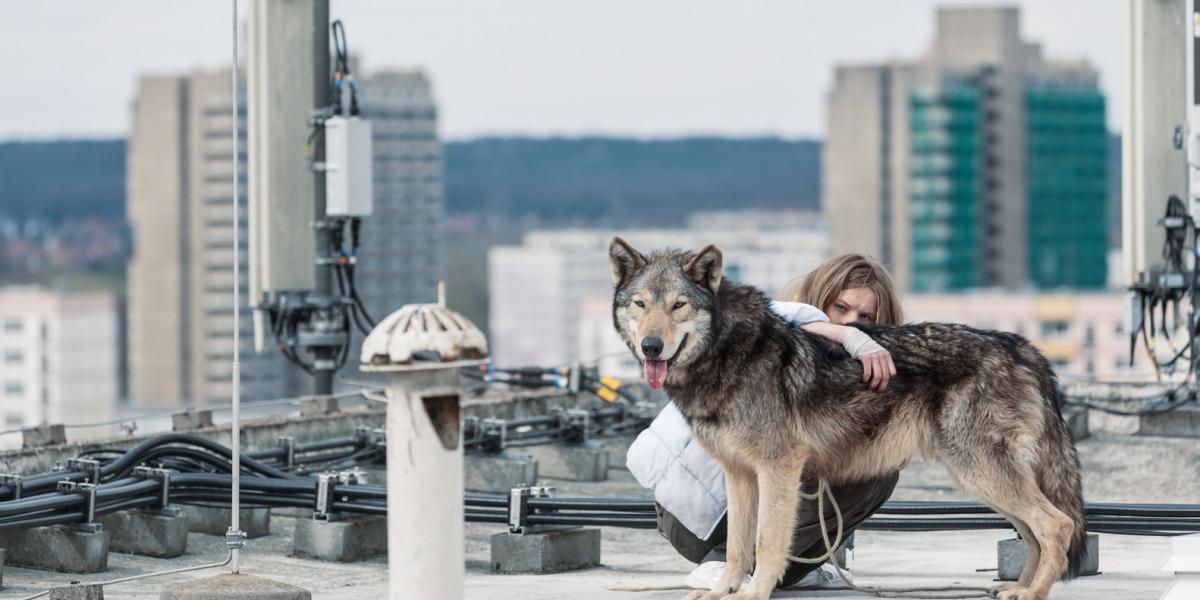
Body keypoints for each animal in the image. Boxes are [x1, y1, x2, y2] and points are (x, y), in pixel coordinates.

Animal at [609, 238, 1089, 600]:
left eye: (678, 305)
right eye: (640, 304)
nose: (651, 347)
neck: (727, 352)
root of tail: (1017, 344)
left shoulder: (778, 468)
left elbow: (766, 542)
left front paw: (754, 593)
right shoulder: (739, 474)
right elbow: (736, 549)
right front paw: (719, 592)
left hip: (981, 474)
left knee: (1057, 525)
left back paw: (1032, 592)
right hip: (984, 480)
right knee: (1034, 533)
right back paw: (1017, 589)